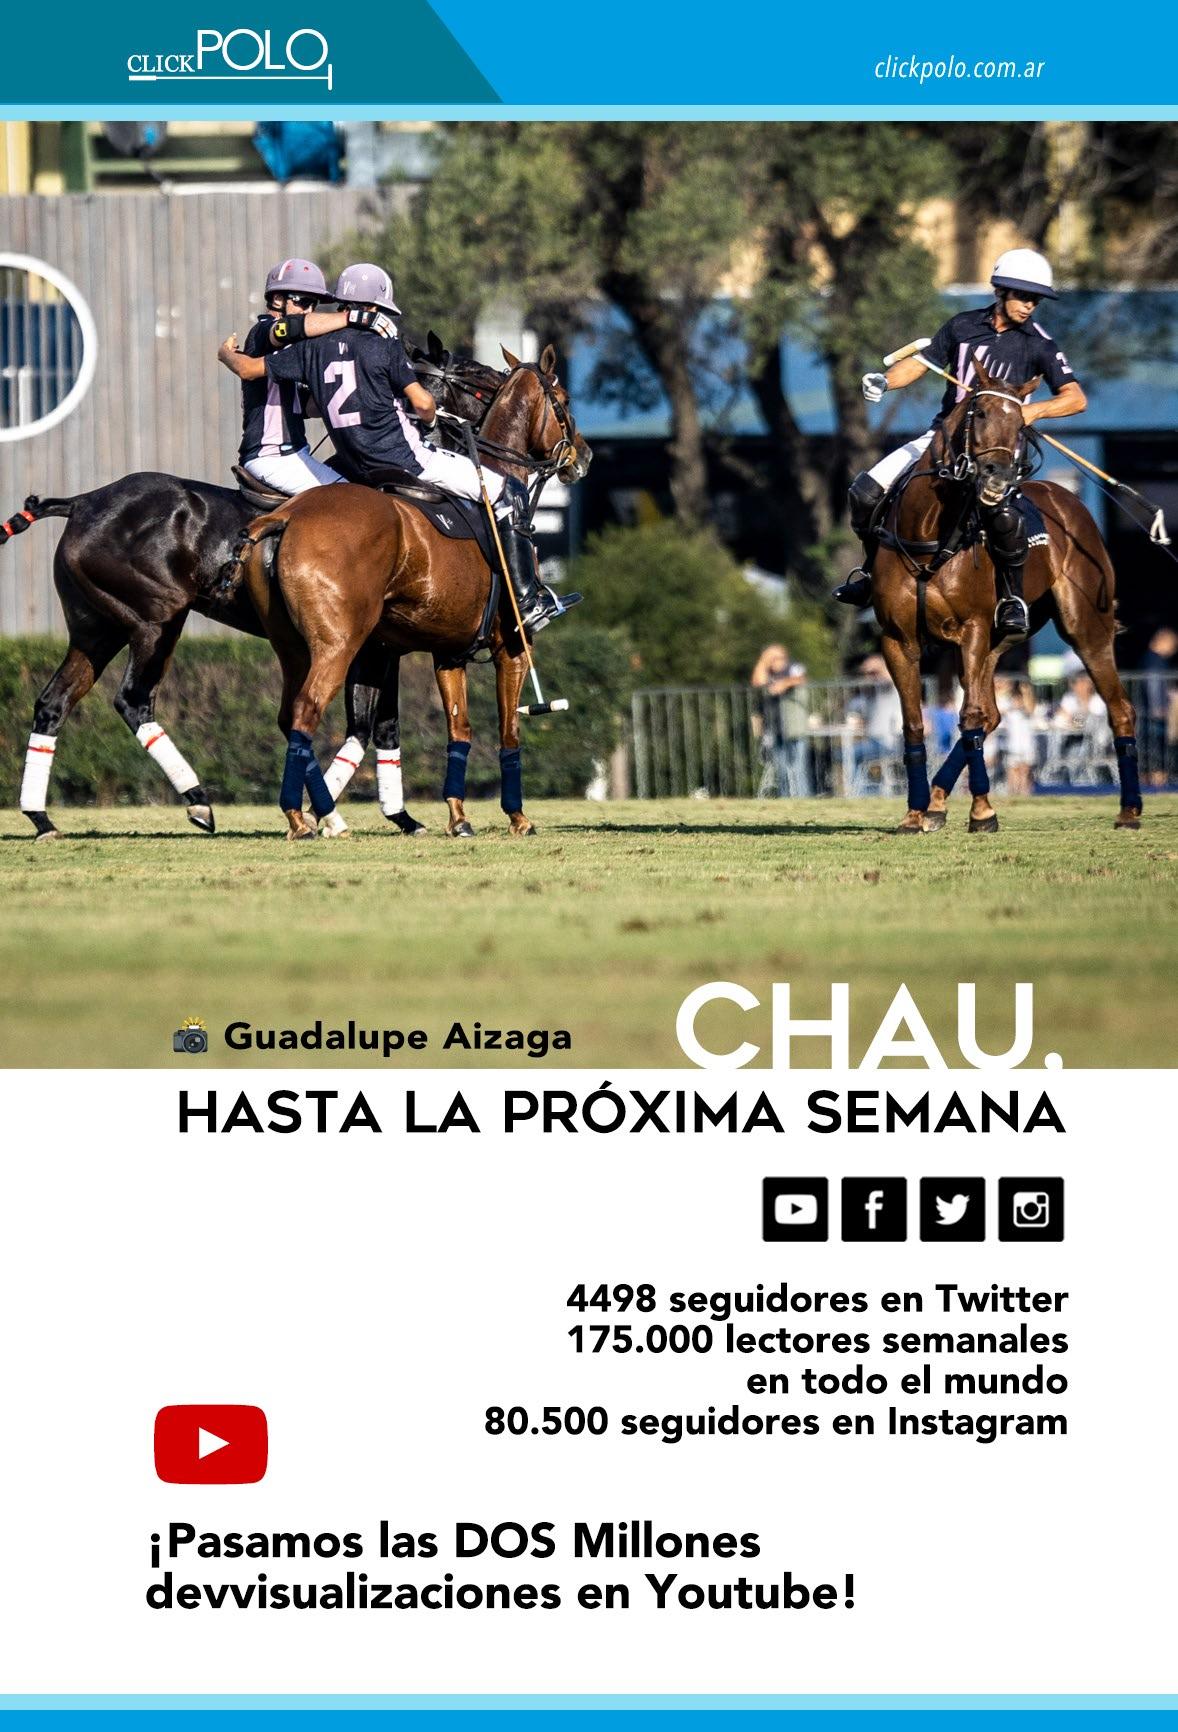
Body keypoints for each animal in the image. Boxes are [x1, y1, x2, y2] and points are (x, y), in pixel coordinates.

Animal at [230, 344, 592, 841]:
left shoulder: (447, 651)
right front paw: (518, 816)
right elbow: (508, 729)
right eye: (565, 401)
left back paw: (308, 815)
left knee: (290, 716)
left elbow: (459, 730)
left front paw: (458, 817)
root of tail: (285, 515)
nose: (584, 455)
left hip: (292, 646)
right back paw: (312, 817)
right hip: (338, 644)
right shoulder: (512, 645)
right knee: (306, 711)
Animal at [867, 351, 1142, 834]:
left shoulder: (973, 629)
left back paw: (1129, 811)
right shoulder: (897, 640)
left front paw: (982, 811)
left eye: (1019, 425)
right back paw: (936, 803)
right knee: (994, 713)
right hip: (1003, 641)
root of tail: (1066, 497)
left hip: (1084, 626)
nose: (996, 481)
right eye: (978, 413)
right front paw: (915, 811)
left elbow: (970, 718)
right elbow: (915, 724)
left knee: (1120, 707)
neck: (928, 533)